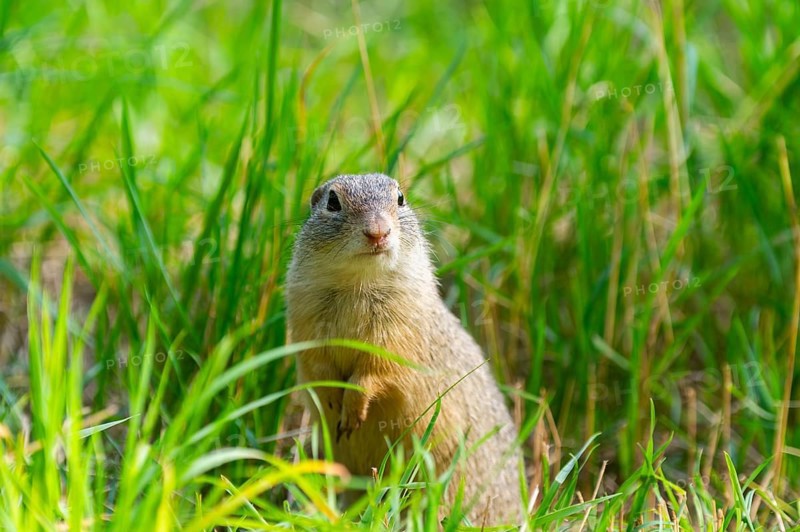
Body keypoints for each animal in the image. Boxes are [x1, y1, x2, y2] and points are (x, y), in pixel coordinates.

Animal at [285, 173, 523, 524]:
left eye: (399, 199)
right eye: (332, 202)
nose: (378, 232)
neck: (358, 285)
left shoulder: (399, 336)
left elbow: (377, 372)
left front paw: (353, 408)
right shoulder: (306, 327)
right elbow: (318, 366)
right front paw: (331, 399)